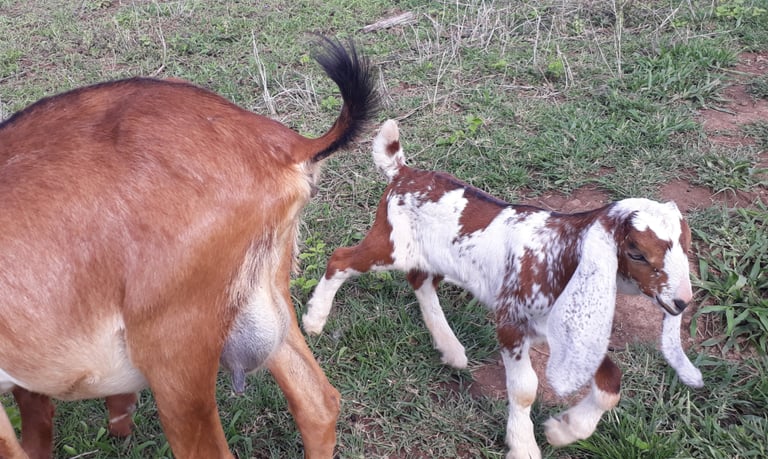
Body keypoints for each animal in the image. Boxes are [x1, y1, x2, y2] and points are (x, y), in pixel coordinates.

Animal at [303, 119, 704, 459]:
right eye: (636, 253)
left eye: (686, 246)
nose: (681, 301)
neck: (559, 255)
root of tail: (404, 172)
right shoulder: (512, 321)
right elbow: (525, 389)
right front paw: (524, 446)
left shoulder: (571, 331)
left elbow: (610, 383)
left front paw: (564, 430)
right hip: (391, 244)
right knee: (341, 259)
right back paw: (314, 319)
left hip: (435, 257)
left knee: (421, 282)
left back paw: (450, 348)